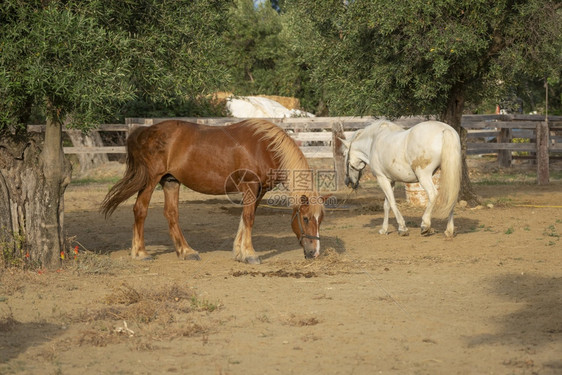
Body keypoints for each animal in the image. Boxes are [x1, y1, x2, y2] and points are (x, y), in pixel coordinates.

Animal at [100, 120, 324, 264]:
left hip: (171, 181)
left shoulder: (259, 191)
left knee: (171, 214)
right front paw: (250, 254)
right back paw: (140, 253)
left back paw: (186, 252)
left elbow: (245, 218)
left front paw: (239, 253)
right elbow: (249, 218)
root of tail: (145, 131)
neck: (265, 148)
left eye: (320, 220)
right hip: (151, 180)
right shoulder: (250, 186)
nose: (314, 252)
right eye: (305, 219)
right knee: (140, 209)